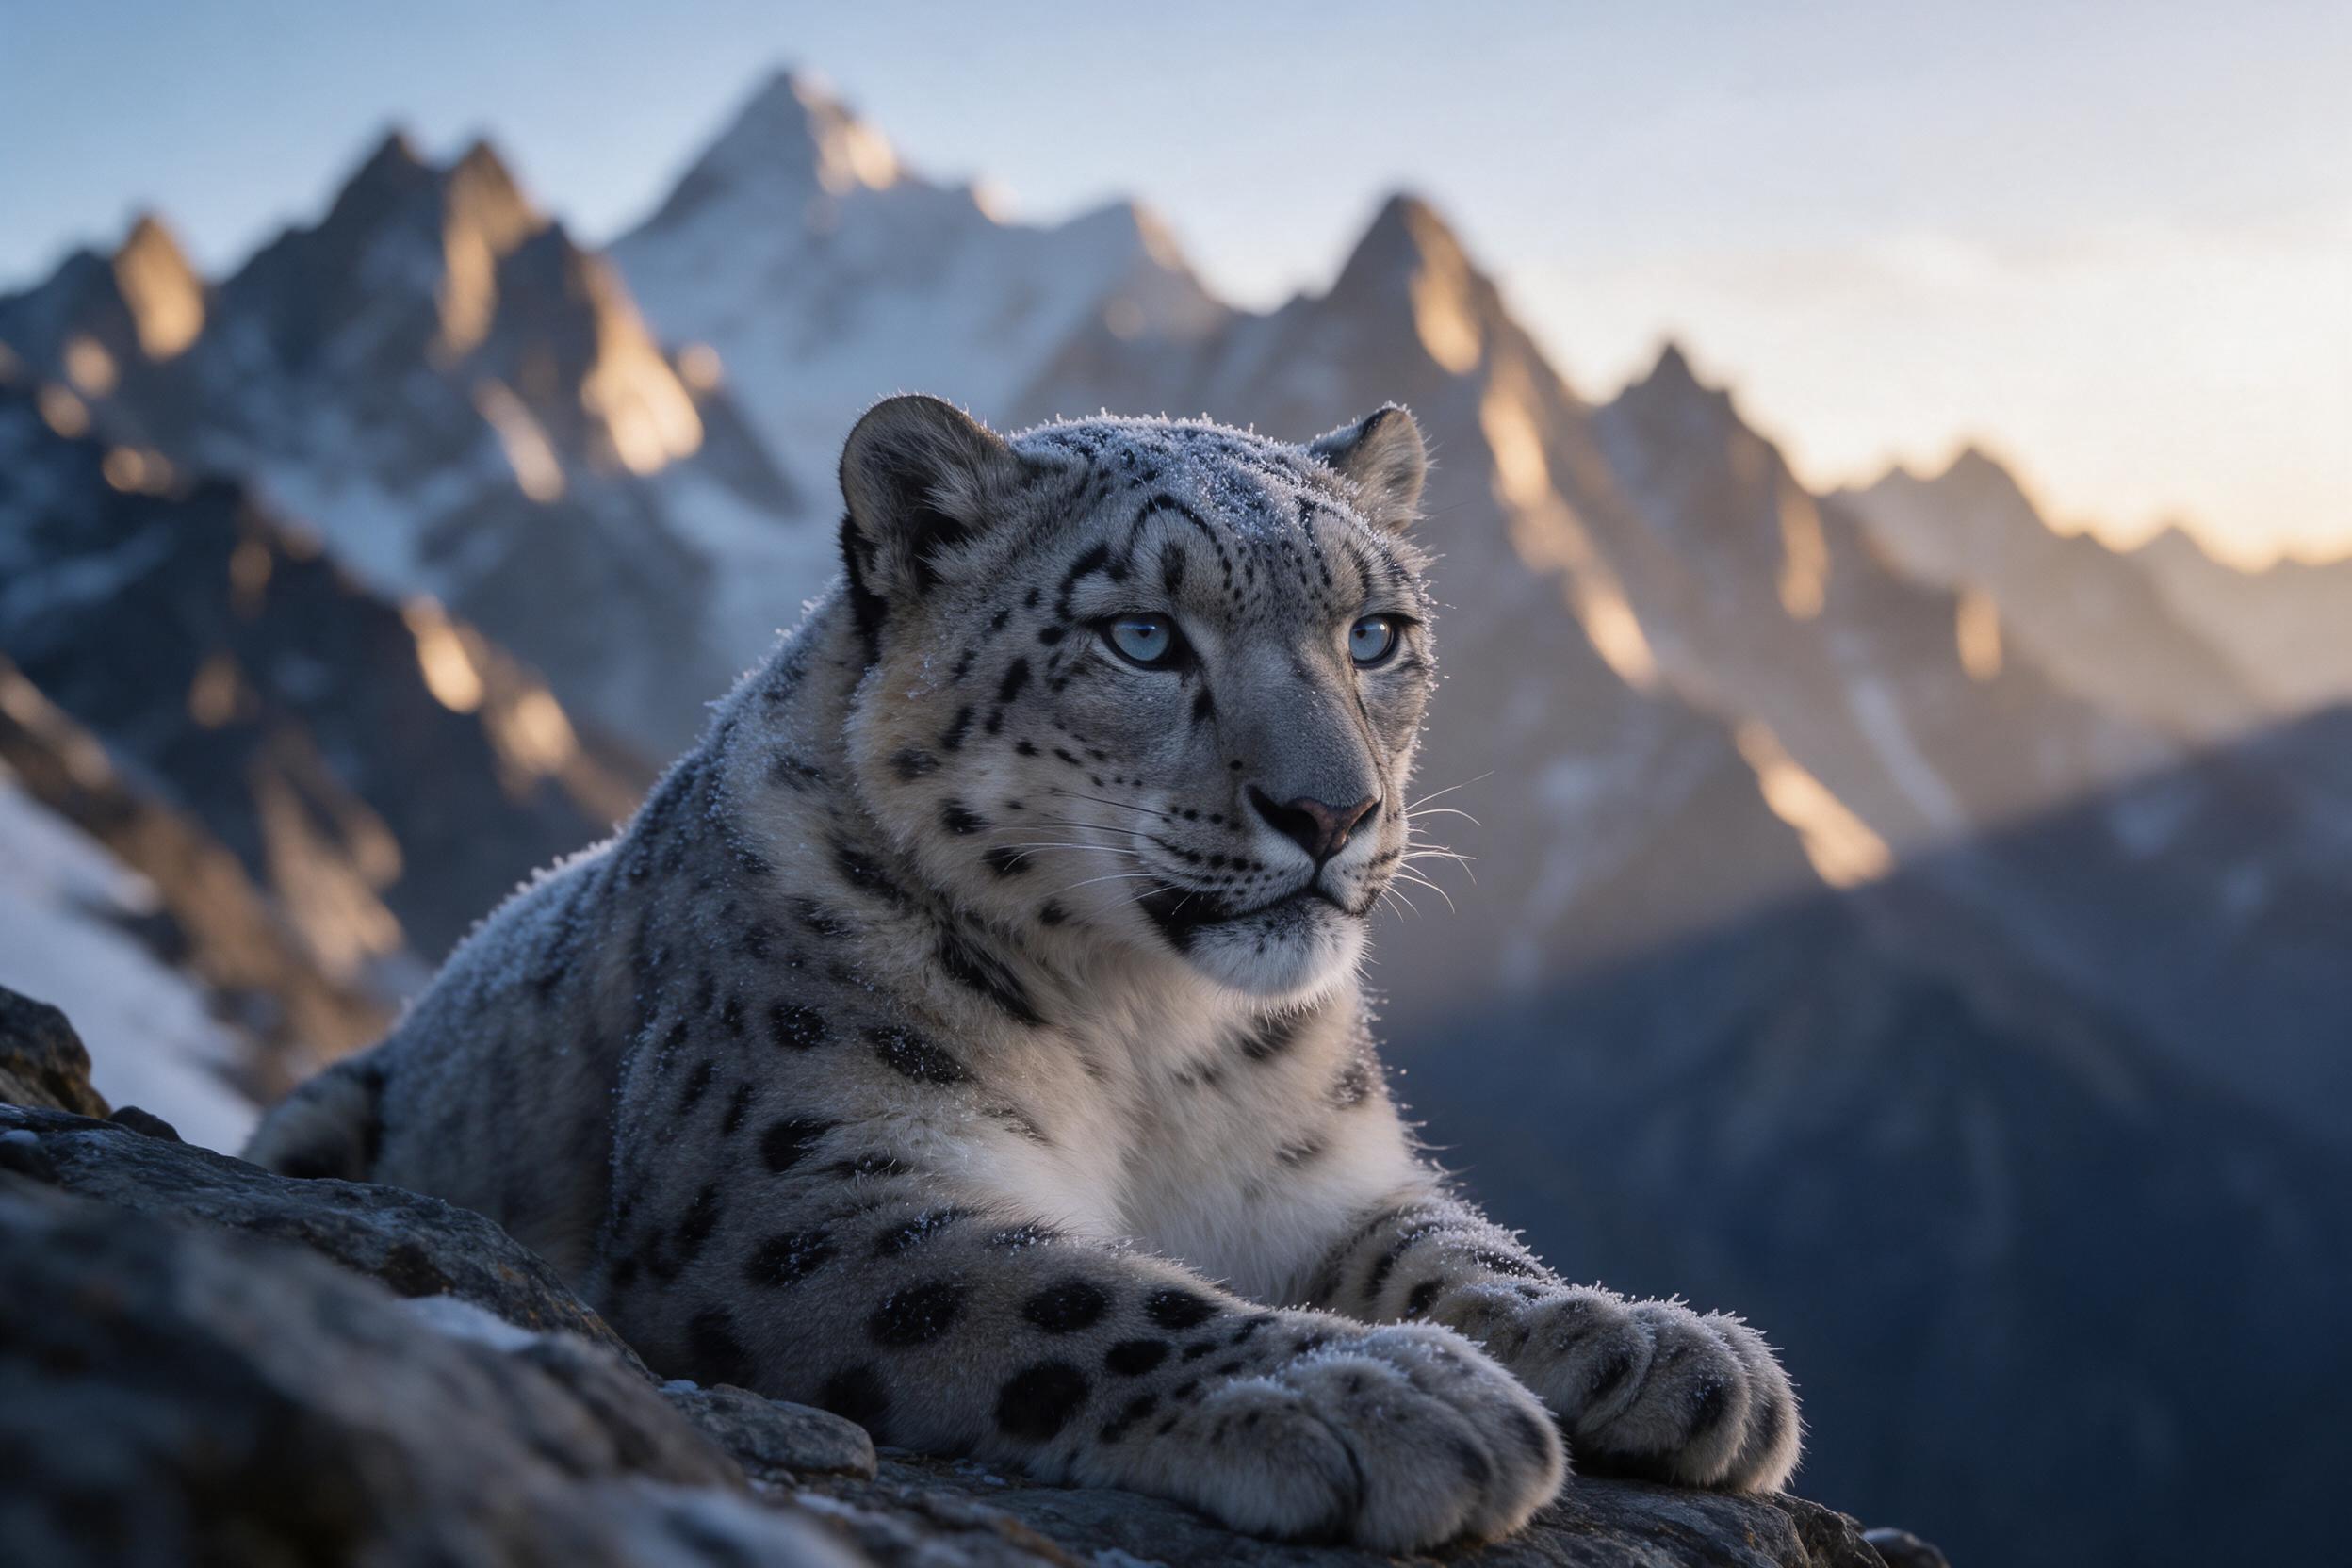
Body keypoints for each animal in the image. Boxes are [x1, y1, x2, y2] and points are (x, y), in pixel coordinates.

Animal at [246, 395, 1801, 1551]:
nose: (1332, 813)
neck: (1156, 1039)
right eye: (1142, 636)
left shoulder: (1316, 1175)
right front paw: (1374, 1392)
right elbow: (1062, 1294)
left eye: (1377, 634)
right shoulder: (795, 1198)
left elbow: (1449, 1243)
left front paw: (1652, 1345)